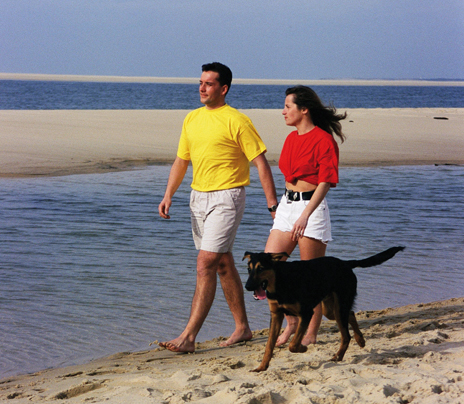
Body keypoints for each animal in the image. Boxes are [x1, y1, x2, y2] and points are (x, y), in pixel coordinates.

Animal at [244, 246, 405, 372]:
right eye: (248, 269)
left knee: (346, 336)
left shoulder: (306, 313)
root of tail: (345, 263)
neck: (279, 281)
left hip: (338, 308)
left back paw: (338, 356)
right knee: (351, 314)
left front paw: (303, 348)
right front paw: (261, 367)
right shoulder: (276, 315)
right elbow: (269, 345)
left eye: (261, 268)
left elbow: (293, 344)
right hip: (331, 309)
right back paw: (360, 340)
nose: (247, 287)